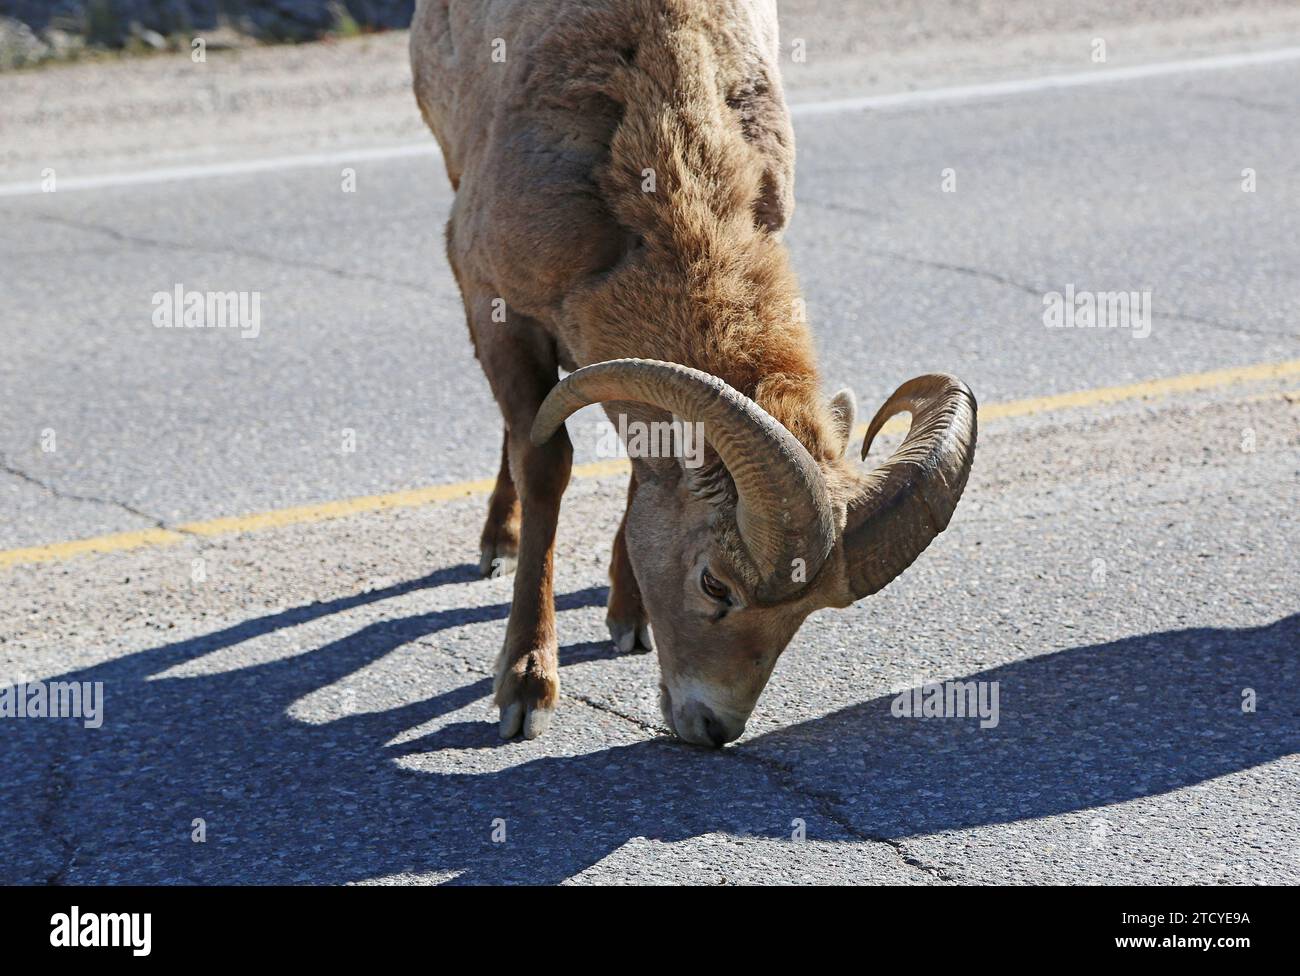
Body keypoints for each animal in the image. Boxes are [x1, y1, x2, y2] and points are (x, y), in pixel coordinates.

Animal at [410, 1, 972, 748]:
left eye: (806, 614)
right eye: (714, 585)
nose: (713, 728)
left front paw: (628, 619)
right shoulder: (495, 307)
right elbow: (544, 467)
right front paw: (526, 688)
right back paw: (496, 546)